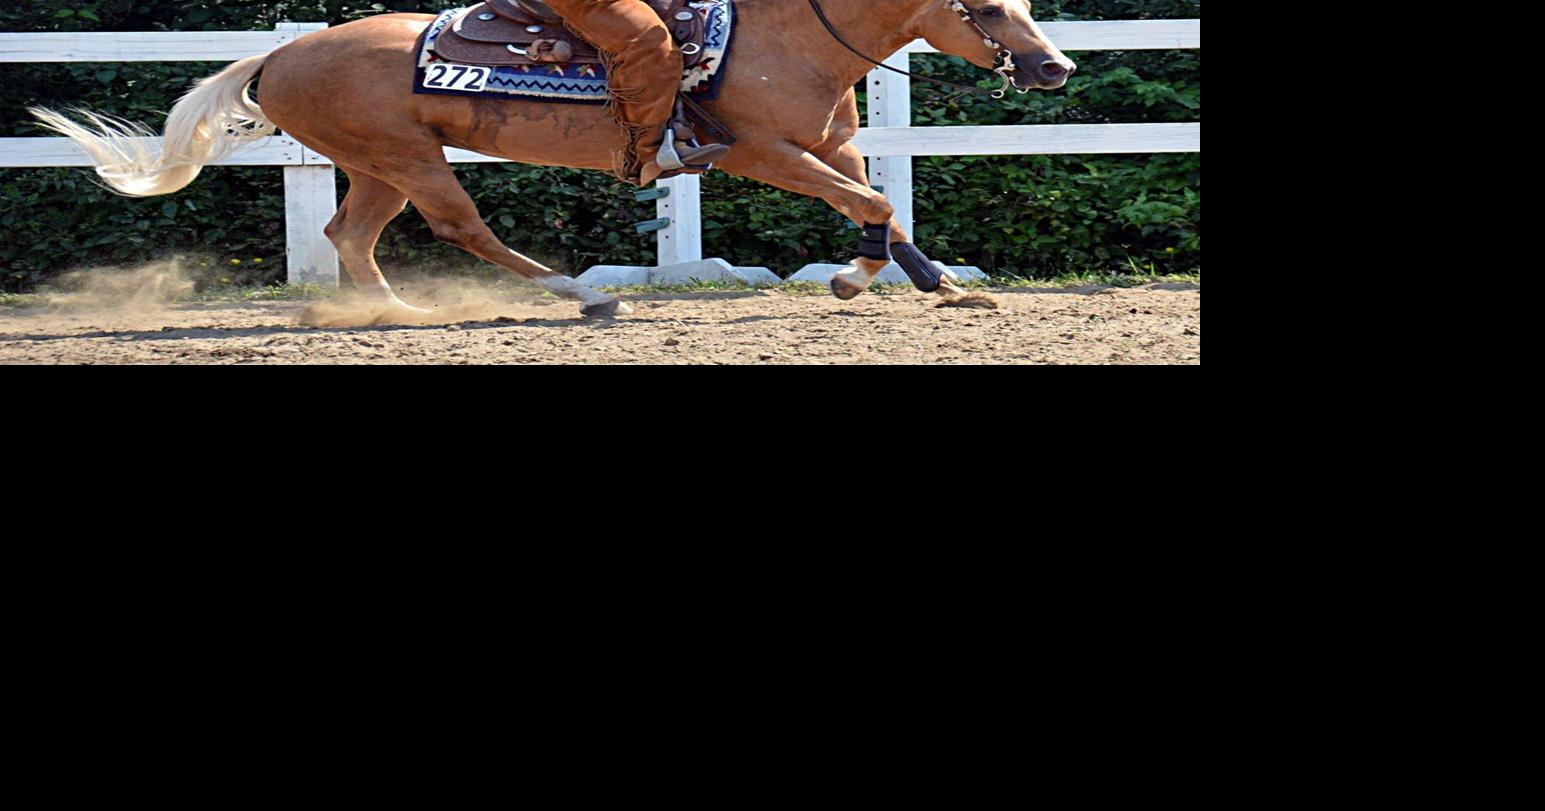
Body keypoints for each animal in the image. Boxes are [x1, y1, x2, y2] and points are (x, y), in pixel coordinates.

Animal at [32, 0, 1074, 319]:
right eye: (985, 5)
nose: (1055, 66)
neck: (792, 35)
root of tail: (278, 55)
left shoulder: (830, 145)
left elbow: (875, 205)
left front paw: (926, 284)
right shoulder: (763, 153)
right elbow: (877, 206)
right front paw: (869, 280)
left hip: (378, 162)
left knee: (348, 232)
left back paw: (393, 311)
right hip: (406, 157)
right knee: (458, 224)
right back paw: (579, 294)